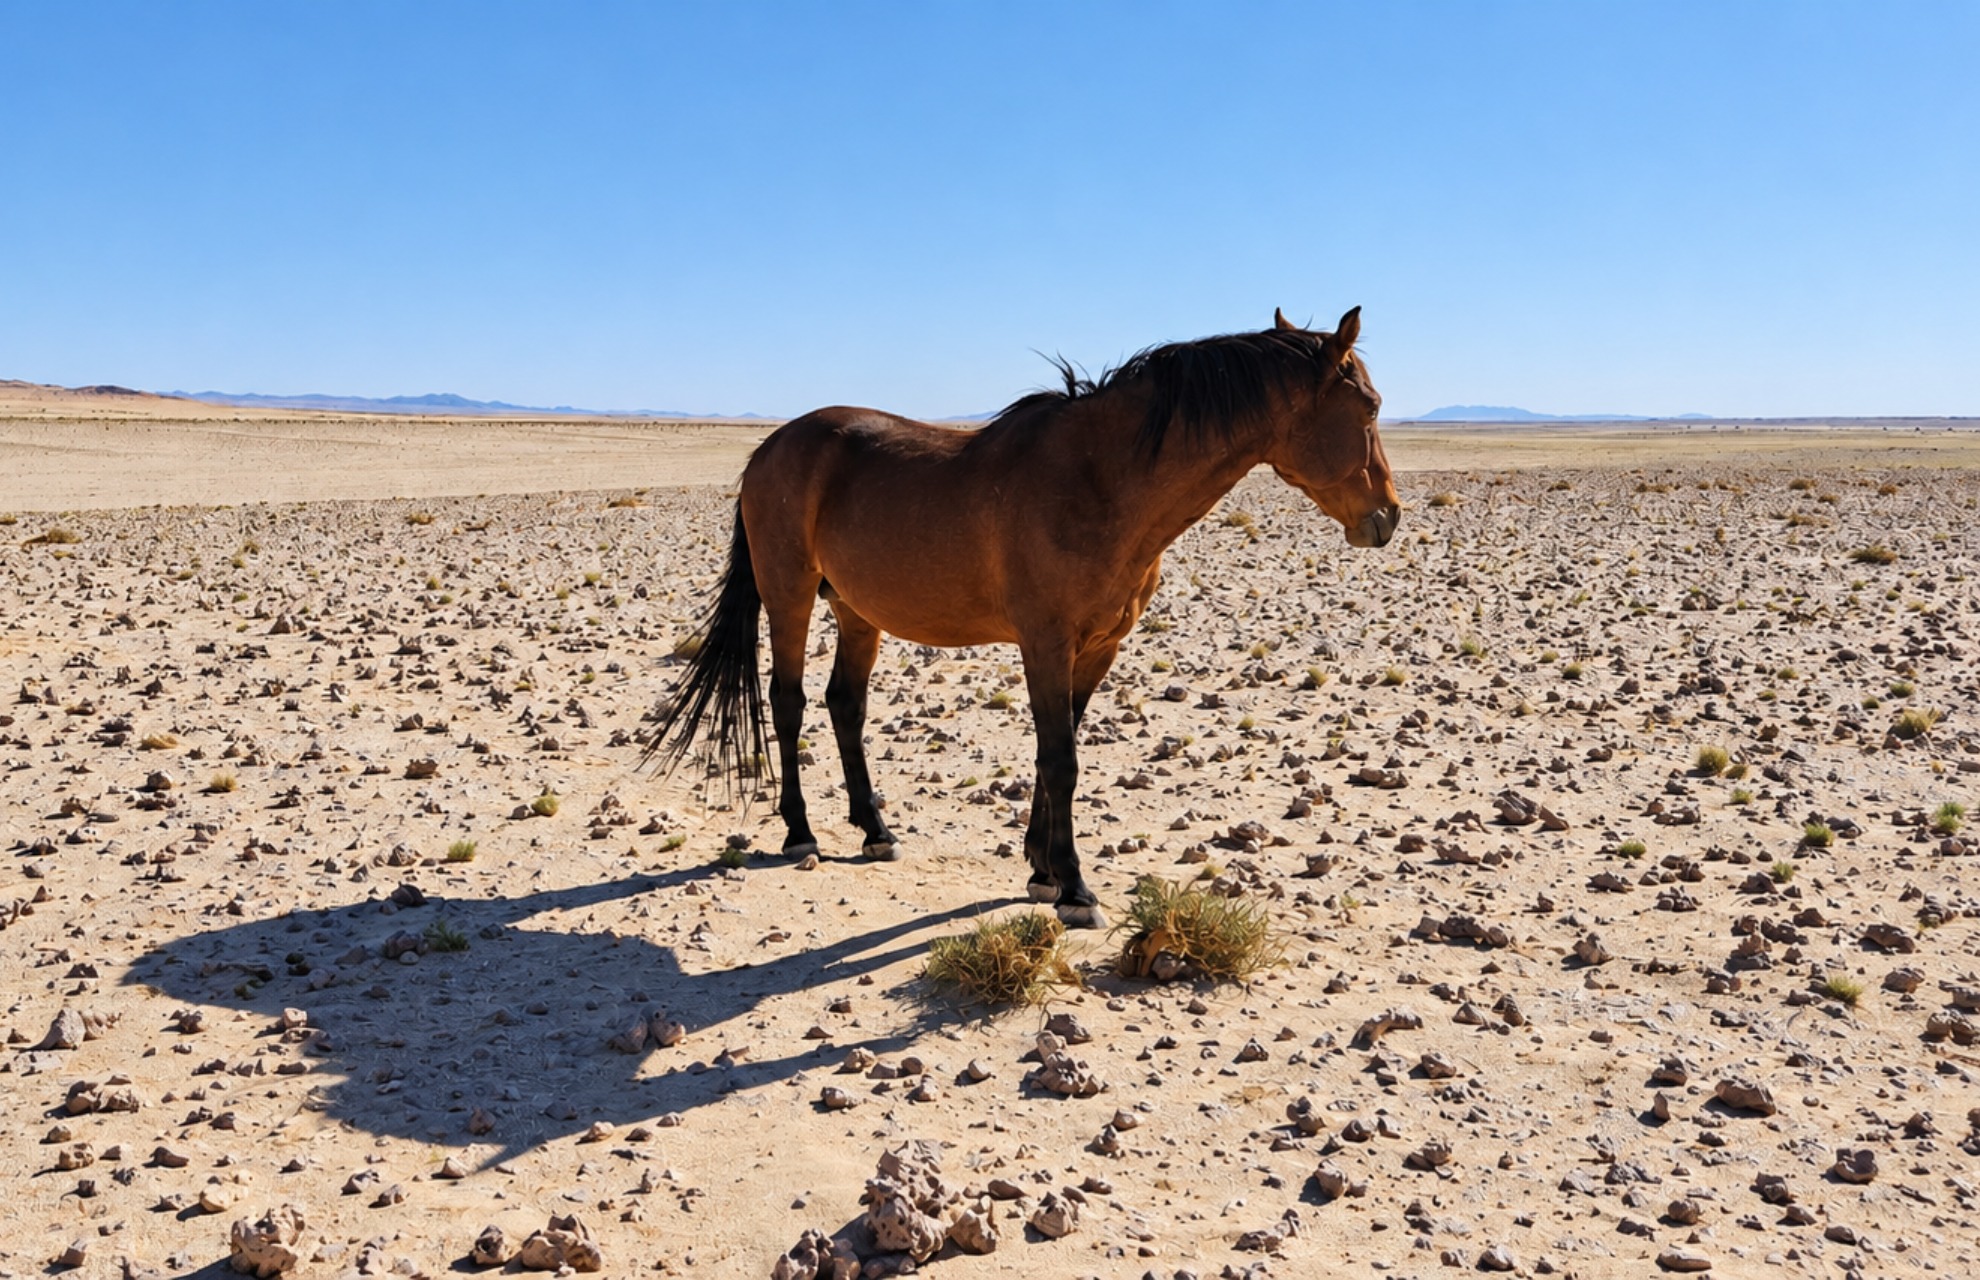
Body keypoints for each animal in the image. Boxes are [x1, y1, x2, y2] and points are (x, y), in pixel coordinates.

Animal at [647, 307, 1399, 927]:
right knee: (789, 700)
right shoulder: (1045, 642)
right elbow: (1060, 759)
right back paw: (800, 830)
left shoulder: (1097, 647)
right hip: (791, 594)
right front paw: (1075, 889)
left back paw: (875, 831)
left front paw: (1041, 870)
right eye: (1368, 407)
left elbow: (1056, 749)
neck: (1103, 482)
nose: (1387, 518)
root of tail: (769, 449)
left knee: (845, 705)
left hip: (858, 609)